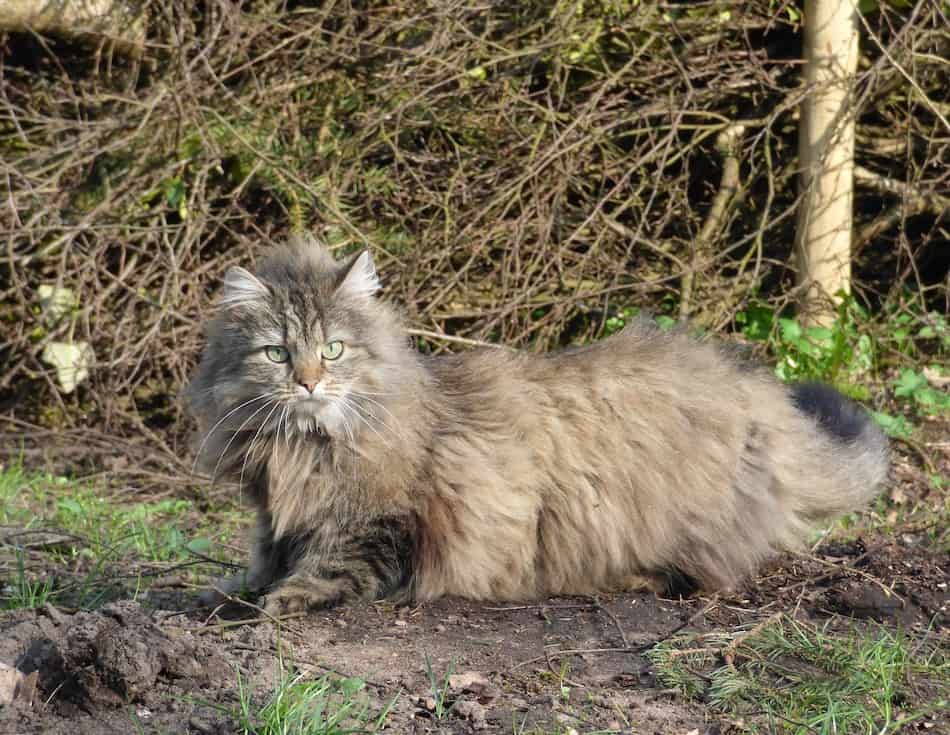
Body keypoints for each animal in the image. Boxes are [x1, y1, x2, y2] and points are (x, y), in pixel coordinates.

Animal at [186, 237, 892, 616]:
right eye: (278, 354)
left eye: (332, 350)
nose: (308, 382)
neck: (300, 447)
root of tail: (752, 393)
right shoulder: (273, 514)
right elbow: (260, 559)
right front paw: (223, 592)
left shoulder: (378, 524)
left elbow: (327, 567)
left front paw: (282, 600)